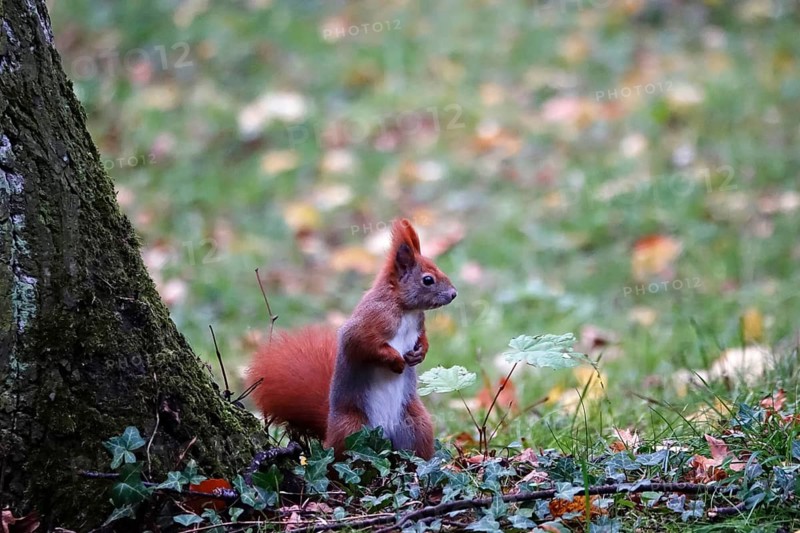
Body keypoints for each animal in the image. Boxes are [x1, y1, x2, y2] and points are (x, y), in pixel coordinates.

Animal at [246, 218, 457, 459]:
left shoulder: (418, 324)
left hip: (416, 426)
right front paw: (396, 361)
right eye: (428, 280)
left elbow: (422, 338)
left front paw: (420, 353)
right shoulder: (369, 322)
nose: (453, 294)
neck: (406, 310)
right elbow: (362, 345)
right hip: (351, 429)